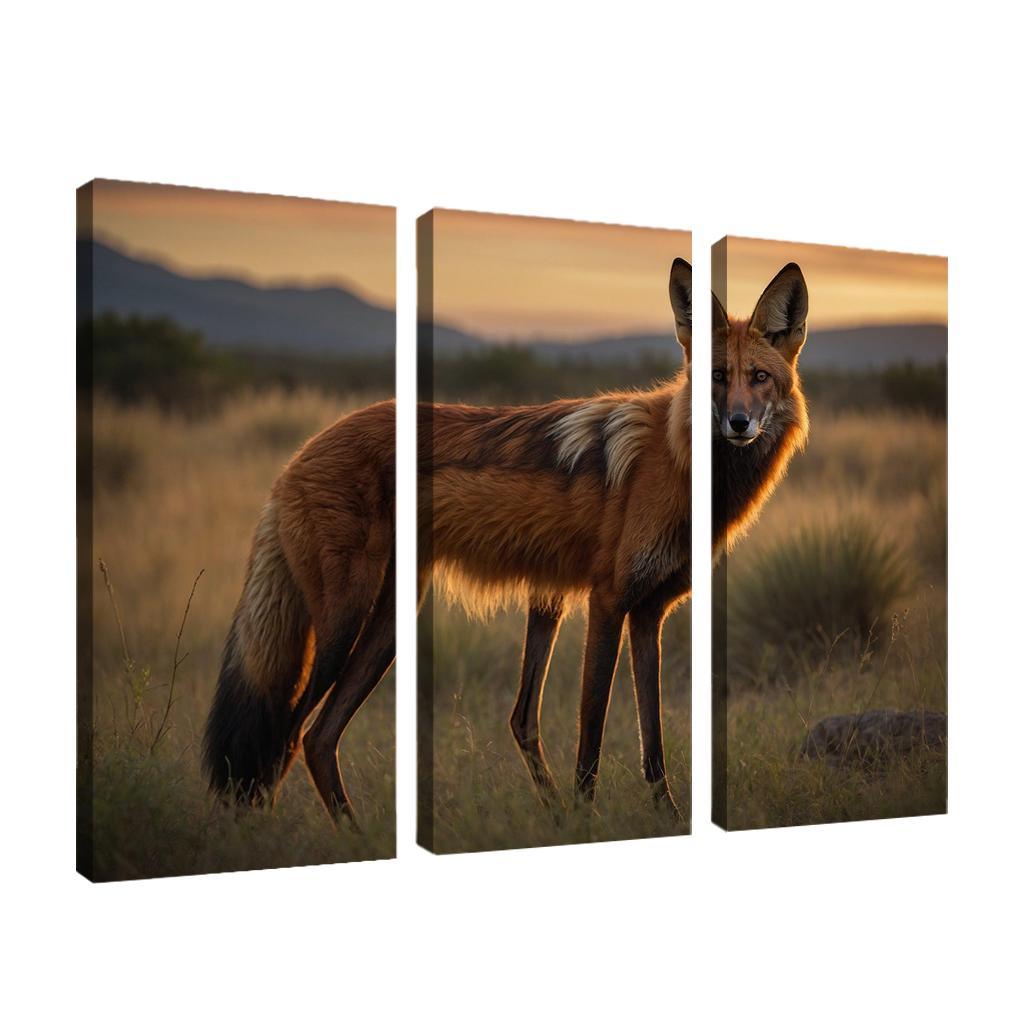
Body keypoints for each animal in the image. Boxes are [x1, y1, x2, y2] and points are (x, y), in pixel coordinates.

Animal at [204, 257, 694, 823]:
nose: (738, 420)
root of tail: (297, 458)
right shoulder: (608, 598)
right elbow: (586, 728)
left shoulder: (577, 596)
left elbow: (549, 720)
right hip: (345, 623)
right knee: (287, 735)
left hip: (390, 621)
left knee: (317, 739)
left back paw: (356, 832)